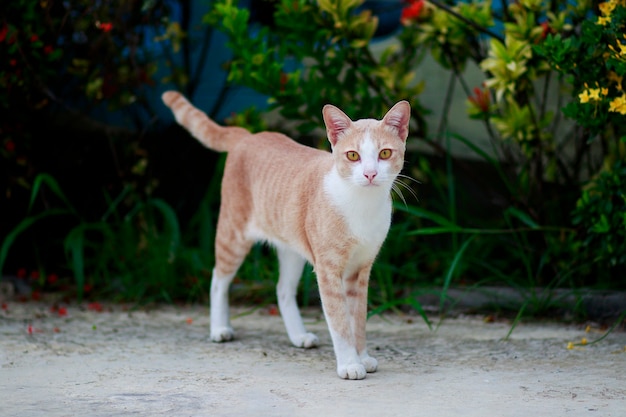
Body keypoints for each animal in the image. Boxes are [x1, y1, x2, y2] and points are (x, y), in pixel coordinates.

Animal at [161, 90, 410, 376]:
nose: (370, 174)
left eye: (384, 153)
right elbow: (339, 321)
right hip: (233, 236)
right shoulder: (328, 270)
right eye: (353, 156)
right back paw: (219, 329)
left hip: (292, 248)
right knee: (218, 280)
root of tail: (248, 136)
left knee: (282, 289)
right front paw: (349, 363)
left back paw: (298, 335)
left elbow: (357, 320)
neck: (362, 205)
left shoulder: (360, 270)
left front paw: (363, 356)